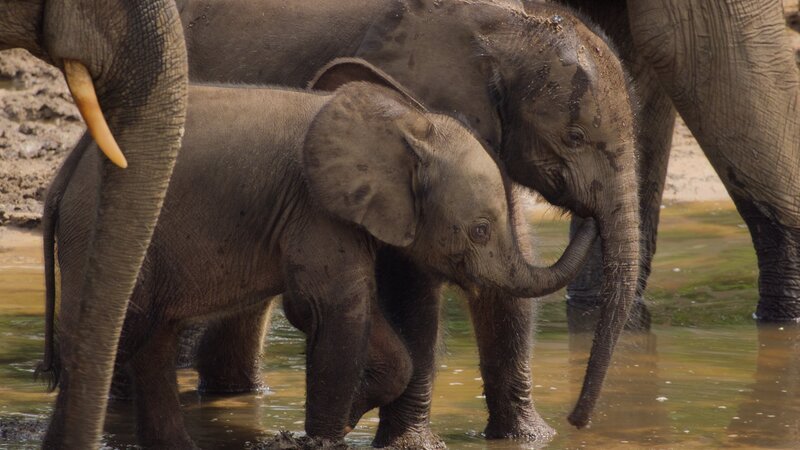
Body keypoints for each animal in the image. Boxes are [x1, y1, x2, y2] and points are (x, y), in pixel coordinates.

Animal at [42, 59, 599, 447]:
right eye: (481, 230)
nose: (586, 209)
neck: (407, 125)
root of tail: (67, 169)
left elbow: (361, 324)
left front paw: (347, 416)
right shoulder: (314, 207)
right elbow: (332, 310)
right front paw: (326, 437)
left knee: (151, 340)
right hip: (96, 233)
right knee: (112, 334)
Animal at [147, 0, 642, 444]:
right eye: (575, 137)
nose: (578, 422)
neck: (504, 27)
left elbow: (512, 256)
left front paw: (530, 439)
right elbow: (412, 282)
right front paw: (409, 443)